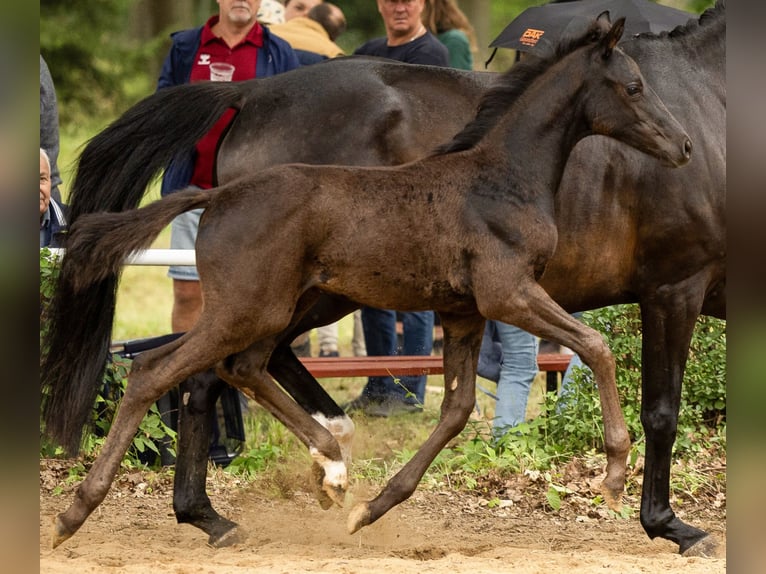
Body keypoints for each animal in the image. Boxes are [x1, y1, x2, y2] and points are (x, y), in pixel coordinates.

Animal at [43, 2, 724, 554]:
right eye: (633, 86)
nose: (684, 146)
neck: (501, 176)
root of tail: (215, 193)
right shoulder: (525, 293)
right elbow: (606, 353)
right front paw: (624, 484)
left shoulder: (465, 312)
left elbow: (457, 409)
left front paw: (372, 508)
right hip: (256, 307)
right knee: (160, 371)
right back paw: (81, 515)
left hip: (278, 306)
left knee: (234, 369)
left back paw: (321, 470)